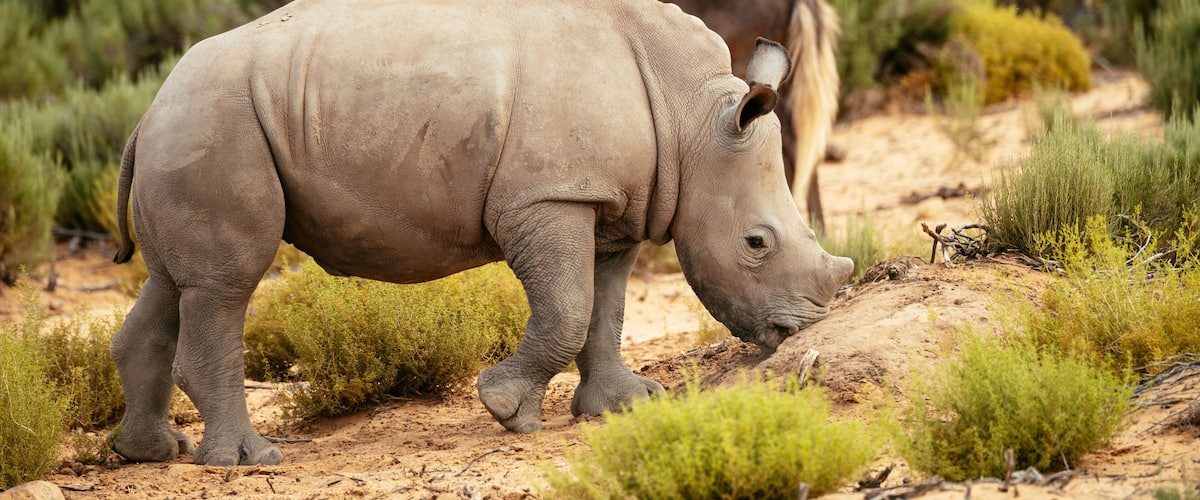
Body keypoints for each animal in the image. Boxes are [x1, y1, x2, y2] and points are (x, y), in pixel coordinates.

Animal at [109, 0, 854, 466]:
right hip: (216, 122)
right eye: (756, 244)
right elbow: (567, 308)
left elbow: (604, 310)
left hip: (198, 126)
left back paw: (152, 453)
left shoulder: (610, 204)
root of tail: (145, 113)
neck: (691, 118)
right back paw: (249, 461)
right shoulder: (546, 197)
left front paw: (624, 407)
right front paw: (506, 408)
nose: (799, 330)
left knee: (177, 283)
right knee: (227, 283)